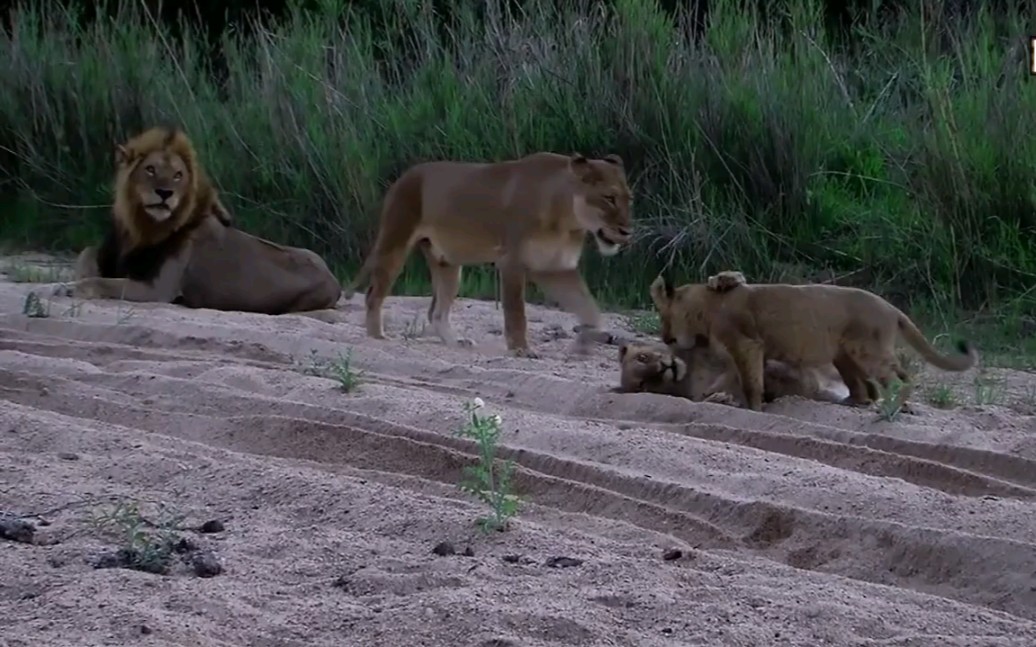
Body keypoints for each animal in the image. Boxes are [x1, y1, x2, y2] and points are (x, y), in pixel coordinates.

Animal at [57, 124, 339, 314]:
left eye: (178, 175)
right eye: (150, 169)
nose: (165, 193)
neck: (141, 227)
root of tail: (334, 280)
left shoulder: (158, 289)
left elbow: (102, 281)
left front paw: (69, 287)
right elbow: (87, 256)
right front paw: (67, 281)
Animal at [343, 152, 629, 358]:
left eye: (629, 199)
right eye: (609, 198)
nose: (627, 231)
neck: (567, 220)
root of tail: (406, 175)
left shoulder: (556, 268)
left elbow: (589, 308)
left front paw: (585, 344)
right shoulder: (512, 262)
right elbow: (516, 311)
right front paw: (521, 349)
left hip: (447, 263)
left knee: (436, 311)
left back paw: (456, 342)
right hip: (396, 240)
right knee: (373, 294)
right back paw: (378, 337)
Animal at [646, 271, 977, 407]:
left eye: (662, 315)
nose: (665, 337)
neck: (707, 305)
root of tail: (891, 307)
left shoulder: (746, 344)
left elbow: (750, 383)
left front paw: (752, 408)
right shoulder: (753, 352)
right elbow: (744, 379)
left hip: (867, 350)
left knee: (899, 377)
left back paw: (896, 407)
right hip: (845, 356)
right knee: (867, 389)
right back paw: (853, 403)